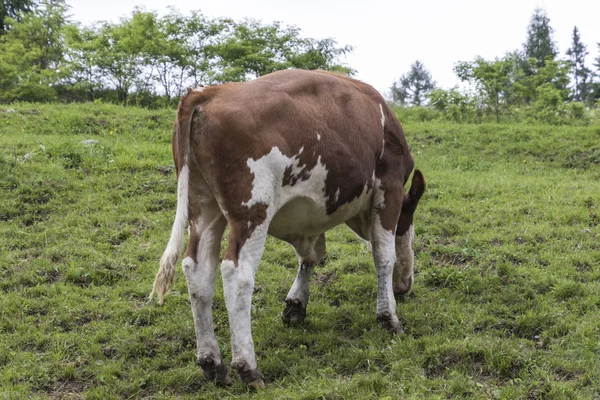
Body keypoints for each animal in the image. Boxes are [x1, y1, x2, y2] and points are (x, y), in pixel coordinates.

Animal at [149, 69, 426, 388]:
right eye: (409, 229)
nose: (405, 285)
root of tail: (210, 92)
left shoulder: (312, 213)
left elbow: (311, 255)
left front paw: (296, 305)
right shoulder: (388, 188)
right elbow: (383, 256)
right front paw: (388, 317)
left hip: (204, 207)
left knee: (198, 272)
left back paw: (212, 363)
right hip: (252, 210)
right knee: (236, 275)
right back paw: (248, 367)